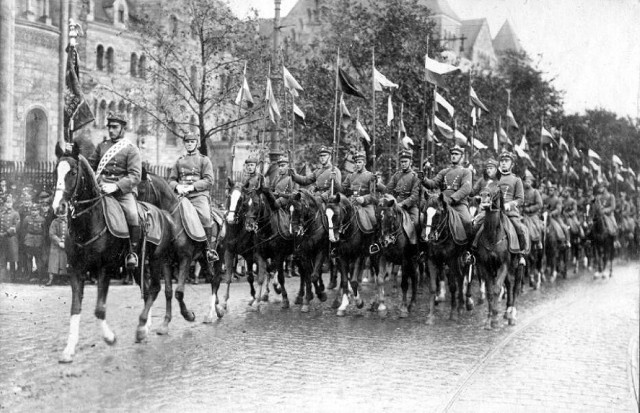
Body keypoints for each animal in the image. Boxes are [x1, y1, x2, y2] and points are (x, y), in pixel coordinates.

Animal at [52, 153, 174, 362]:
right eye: (56, 171)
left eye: (73, 172)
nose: (58, 206)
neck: (89, 222)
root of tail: (161, 213)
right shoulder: (75, 270)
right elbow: (75, 308)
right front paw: (69, 349)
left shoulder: (105, 268)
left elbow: (99, 308)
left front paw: (109, 338)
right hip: (137, 265)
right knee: (146, 288)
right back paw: (145, 326)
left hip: (156, 260)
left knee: (155, 288)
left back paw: (141, 329)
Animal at [135, 171, 225, 326]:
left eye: (141, 190)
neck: (172, 222)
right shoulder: (166, 261)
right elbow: (168, 291)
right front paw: (165, 323)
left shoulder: (185, 259)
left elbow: (179, 292)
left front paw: (188, 315)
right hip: (202, 259)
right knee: (211, 278)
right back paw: (217, 309)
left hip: (220, 255)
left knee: (216, 280)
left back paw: (211, 313)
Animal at [422, 194, 472, 326]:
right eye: (424, 212)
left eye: (438, 214)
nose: (427, 236)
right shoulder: (432, 260)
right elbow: (433, 287)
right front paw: (430, 316)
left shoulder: (452, 261)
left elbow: (453, 286)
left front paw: (453, 313)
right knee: (458, 277)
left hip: (464, 259)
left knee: (462, 277)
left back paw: (464, 304)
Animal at [476, 187, 524, 328]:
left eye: (497, 189)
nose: (484, 196)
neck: (493, 235)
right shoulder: (485, 266)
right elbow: (490, 291)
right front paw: (488, 320)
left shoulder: (503, 265)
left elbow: (497, 289)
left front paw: (495, 320)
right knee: (509, 284)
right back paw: (507, 312)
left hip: (518, 267)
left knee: (515, 287)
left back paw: (512, 315)